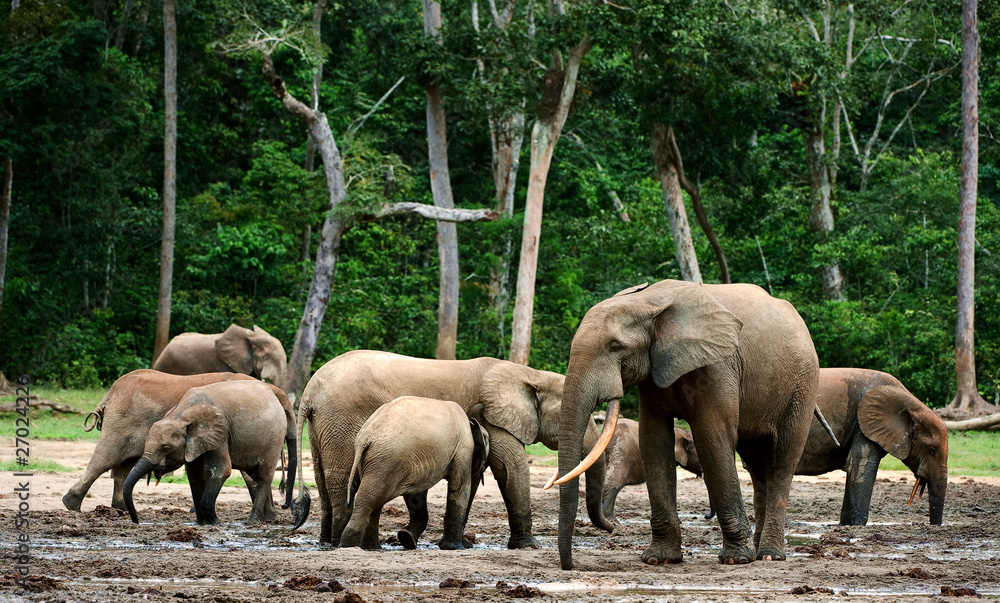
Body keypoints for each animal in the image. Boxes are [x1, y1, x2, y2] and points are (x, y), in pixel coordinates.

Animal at [63, 369, 260, 512]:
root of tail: (109, 395)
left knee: (123, 465)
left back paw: (121, 509)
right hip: (121, 421)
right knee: (106, 459)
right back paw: (71, 504)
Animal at [123, 379, 296, 525]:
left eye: (165, 448)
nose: (136, 521)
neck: (180, 415)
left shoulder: (221, 432)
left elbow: (220, 470)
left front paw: (214, 522)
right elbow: (194, 475)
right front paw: (201, 523)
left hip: (274, 437)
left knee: (264, 475)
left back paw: (252, 521)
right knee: (255, 475)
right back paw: (268, 519)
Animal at [341, 397, 490, 550]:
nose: (468, 544)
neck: (471, 423)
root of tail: (365, 437)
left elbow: (416, 495)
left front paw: (406, 538)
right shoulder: (464, 447)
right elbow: (459, 488)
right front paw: (454, 548)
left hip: (381, 460)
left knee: (375, 500)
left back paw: (372, 548)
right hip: (388, 459)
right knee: (369, 498)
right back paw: (348, 545)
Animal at [549, 280, 819, 569]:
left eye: (615, 347)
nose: (571, 566)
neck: (647, 300)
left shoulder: (719, 365)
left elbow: (712, 437)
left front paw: (736, 559)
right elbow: (653, 440)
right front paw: (659, 559)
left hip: (802, 384)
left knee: (782, 460)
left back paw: (770, 555)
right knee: (757, 466)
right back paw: (759, 550)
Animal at [795, 367, 948, 525]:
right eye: (931, 451)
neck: (911, 403)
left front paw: (846, 526)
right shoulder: (863, 424)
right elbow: (862, 467)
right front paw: (858, 526)